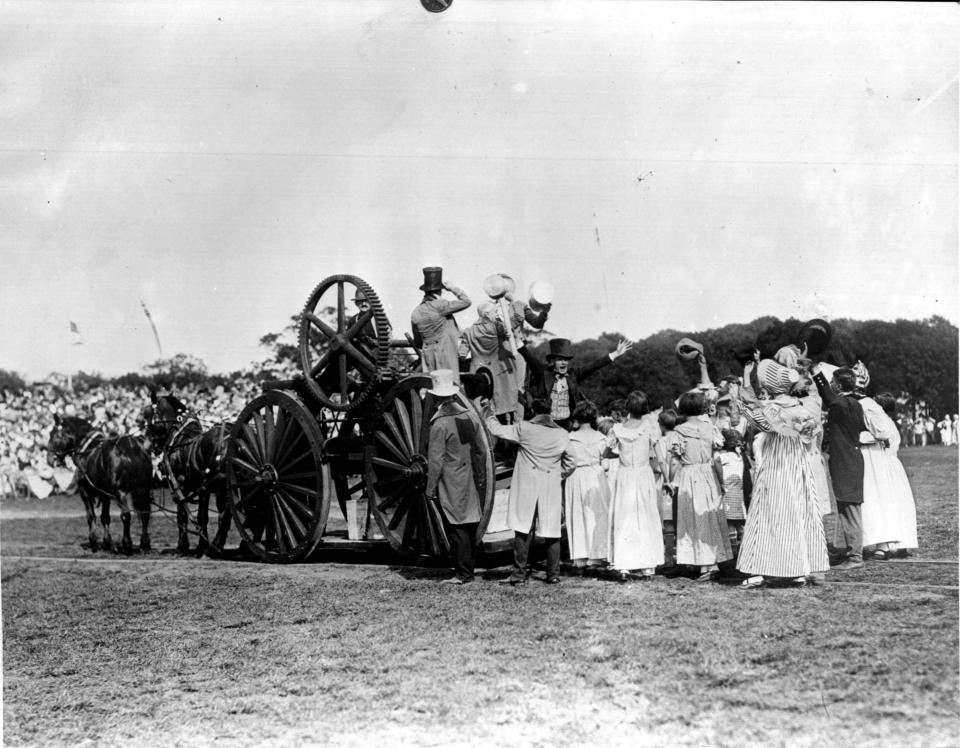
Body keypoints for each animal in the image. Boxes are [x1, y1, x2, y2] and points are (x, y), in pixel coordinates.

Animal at [46, 412, 153, 552]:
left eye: (55, 434)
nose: (49, 459)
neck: (87, 451)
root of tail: (131, 447)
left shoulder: (85, 491)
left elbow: (91, 516)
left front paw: (93, 541)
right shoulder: (105, 494)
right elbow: (105, 517)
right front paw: (107, 542)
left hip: (121, 492)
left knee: (126, 515)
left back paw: (126, 544)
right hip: (144, 488)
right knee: (145, 513)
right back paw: (144, 543)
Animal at [142, 392, 232, 556]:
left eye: (149, 417)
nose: (148, 446)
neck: (180, 440)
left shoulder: (180, 486)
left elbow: (182, 514)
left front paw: (183, 545)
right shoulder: (203, 489)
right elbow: (202, 516)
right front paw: (201, 545)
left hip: (222, 488)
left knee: (225, 514)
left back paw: (216, 546)